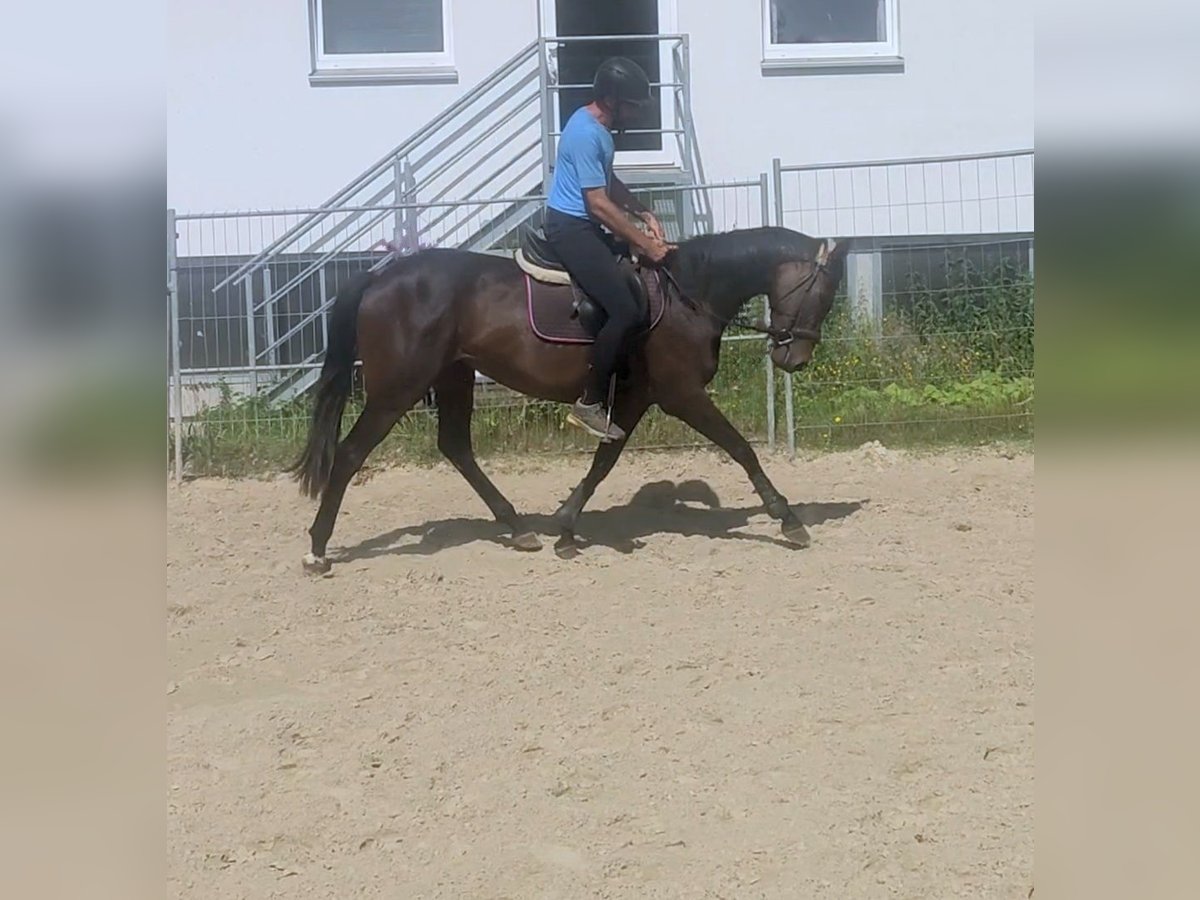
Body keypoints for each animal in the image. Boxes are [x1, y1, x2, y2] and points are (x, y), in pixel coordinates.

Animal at [290, 224, 854, 571]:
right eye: (824, 293)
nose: (795, 358)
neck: (688, 294)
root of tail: (379, 275)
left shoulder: (634, 399)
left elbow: (604, 462)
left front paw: (565, 527)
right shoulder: (681, 394)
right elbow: (740, 448)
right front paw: (788, 519)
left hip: (454, 376)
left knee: (455, 447)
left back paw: (519, 528)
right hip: (398, 389)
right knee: (350, 453)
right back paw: (317, 548)